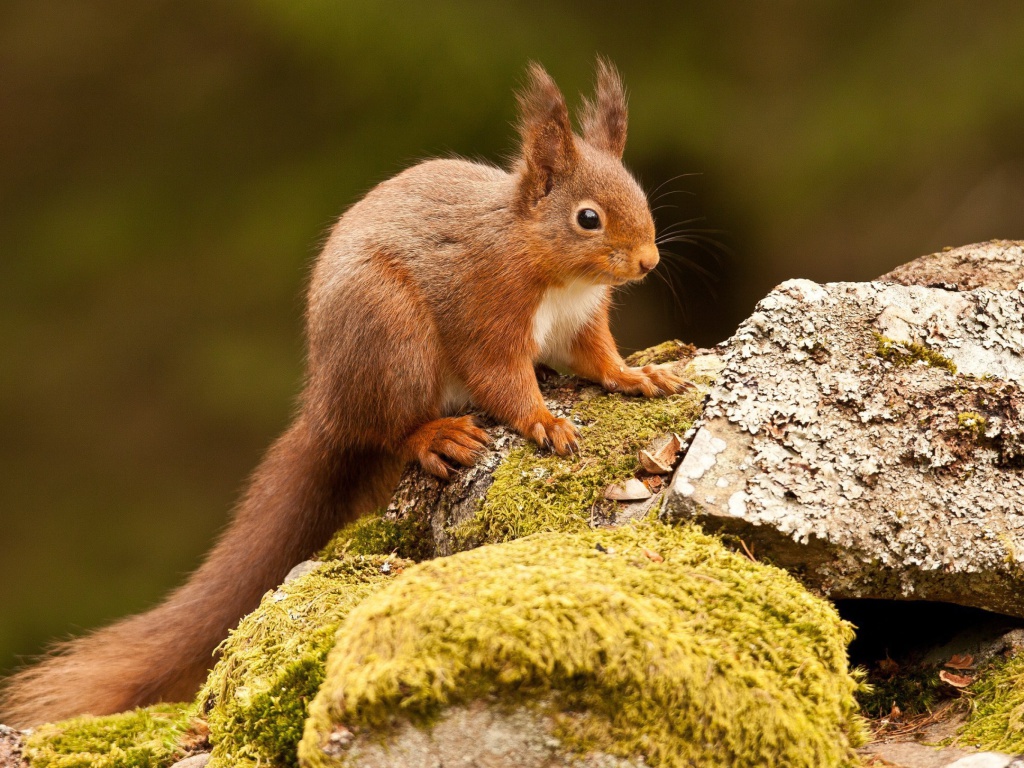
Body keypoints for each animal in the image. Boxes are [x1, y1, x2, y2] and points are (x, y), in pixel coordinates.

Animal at [2, 60, 688, 729]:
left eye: (639, 196)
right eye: (588, 218)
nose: (648, 261)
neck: (548, 264)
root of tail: (326, 408)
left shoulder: (581, 322)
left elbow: (599, 359)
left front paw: (639, 377)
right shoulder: (485, 310)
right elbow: (500, 378)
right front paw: (544, 419)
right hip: (389, 336)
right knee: (390, 429)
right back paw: (435, 435)